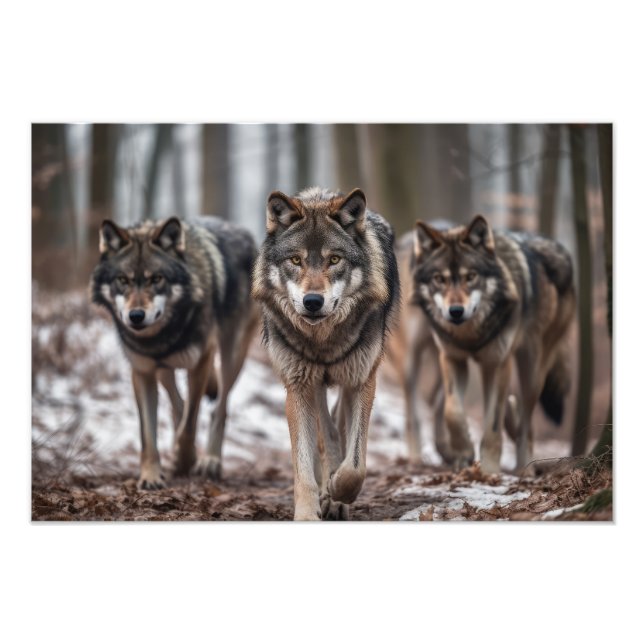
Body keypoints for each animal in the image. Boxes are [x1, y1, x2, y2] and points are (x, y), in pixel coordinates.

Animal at [90, 215, 259, 489]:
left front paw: (185, 461)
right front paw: (151, 475)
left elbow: (190, 424)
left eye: (156, 279)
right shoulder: (143, 372)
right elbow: (148, 434)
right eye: (123, 280)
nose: (136, 316)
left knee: (219, 409)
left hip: (232, 354)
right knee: (178, 404)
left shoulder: (201, 361)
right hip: (164, 370)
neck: (162, 336)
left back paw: (210, 461)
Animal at [252, 187, 400, 520]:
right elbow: (305, 464)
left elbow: (356, 464)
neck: (323, 340)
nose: (312, 301)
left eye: (334, 259)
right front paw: (309, 511)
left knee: (340, 425)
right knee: (327, 433)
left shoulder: (361, 381)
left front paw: (339, 491)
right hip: (314, 384)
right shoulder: (298, 387)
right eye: (296, 260)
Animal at [398, 215, 575, 474]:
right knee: (431, 402)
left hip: (530, 369)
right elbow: (453, 411)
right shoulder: (453, 359)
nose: (456, 311)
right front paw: (464, 453)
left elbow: (492, 423)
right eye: (439, 279)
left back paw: (525, 469)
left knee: (528, 422)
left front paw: (490, 469)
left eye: (471, 276)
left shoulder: (499, 364)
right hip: (415, 357)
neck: (470, 334)